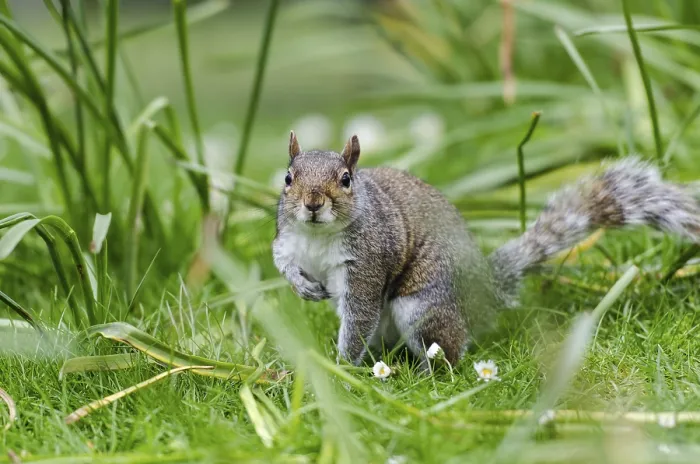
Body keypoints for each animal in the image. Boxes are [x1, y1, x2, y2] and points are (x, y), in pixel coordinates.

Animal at [272, 131, 700, 368]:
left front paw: (340, 368)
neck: (317, 236)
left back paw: (423, 376)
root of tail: (483, 293)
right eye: (288, 178)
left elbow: (359, 316)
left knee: (447, 351)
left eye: (346, 179)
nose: (313, 203)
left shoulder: (368, 261)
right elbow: (283, 263)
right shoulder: (286, 240)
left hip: (423, 309)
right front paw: (302, 287)